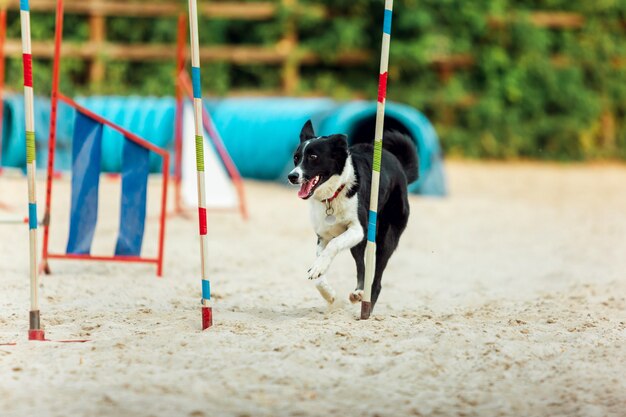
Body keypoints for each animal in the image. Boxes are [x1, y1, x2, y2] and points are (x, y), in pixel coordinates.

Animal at [288, 120, 416, 312]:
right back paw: (358, 293)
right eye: (296, 158)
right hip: (359, 244)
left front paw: (319, 269)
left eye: (313, 157)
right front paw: (329, 294)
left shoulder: (358, 229)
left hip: (385, 239)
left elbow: (333, 245)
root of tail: (401, 169)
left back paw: (367, 305)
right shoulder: (322, 236)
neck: (333, 195)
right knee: (361, 266)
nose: (292, 176)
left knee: (377, 278)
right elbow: (318, 273)